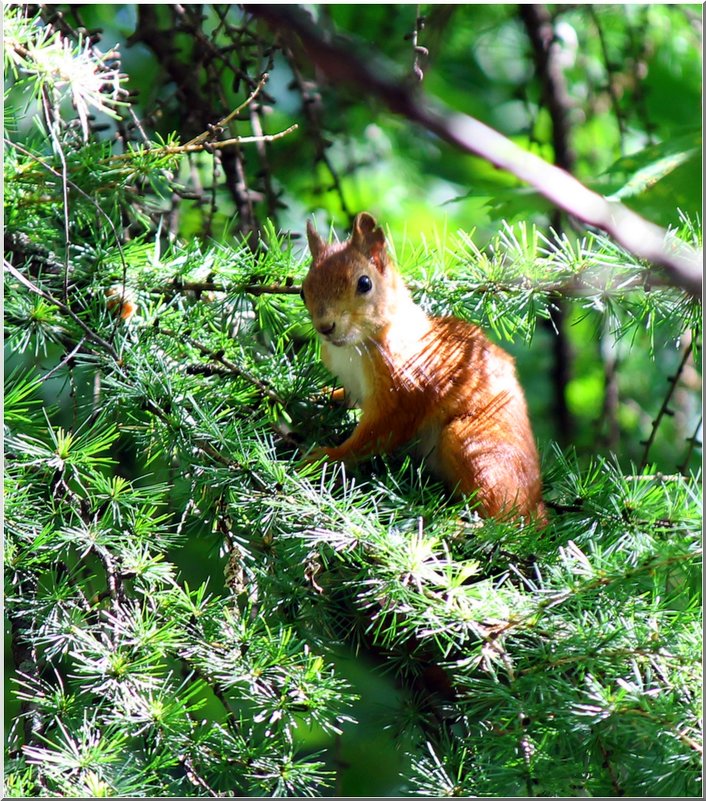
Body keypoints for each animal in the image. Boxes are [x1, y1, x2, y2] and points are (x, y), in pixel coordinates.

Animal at [296, 214, 544, 524]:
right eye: (302, 290)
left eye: (364, 283)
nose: (325, 327)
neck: (356, 346)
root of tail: (536, 503)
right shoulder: (353, 383)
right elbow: (347, 398)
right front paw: (320, 395)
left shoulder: (403, 392)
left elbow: (376, 435)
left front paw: (327, 456)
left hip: (474, 446)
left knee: (502, 516)